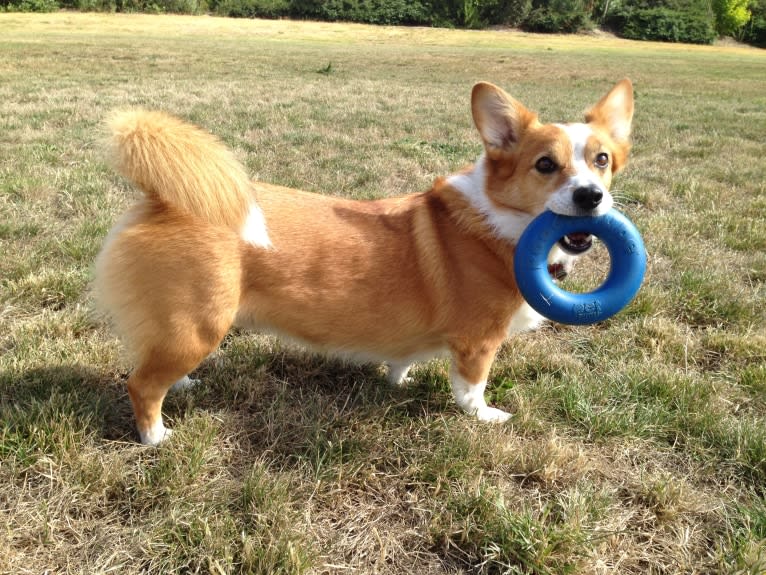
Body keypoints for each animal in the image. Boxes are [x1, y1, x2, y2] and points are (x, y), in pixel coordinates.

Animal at [96, 79, 636, 446]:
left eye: (602, 160)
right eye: (545, 165)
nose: (591, 197)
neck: (500, 222)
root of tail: (162, 200)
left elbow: (404, 360)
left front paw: (401, 379)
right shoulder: (479, 342)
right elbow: (470, 389)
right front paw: (485, 417)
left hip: (184, 331)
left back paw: (184, 385)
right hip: (199, 325)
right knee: (141, 385)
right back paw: (156, 438)